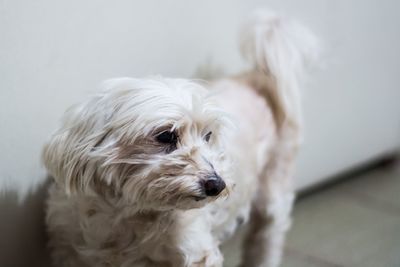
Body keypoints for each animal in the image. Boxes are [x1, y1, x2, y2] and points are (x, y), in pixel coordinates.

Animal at [42, 9, 318, 266]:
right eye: (166, 136)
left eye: (208, 136)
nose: (217, 185)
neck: (128, 213)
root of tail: (257, 78)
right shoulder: (69, 248)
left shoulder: (195, 252)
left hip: (274, 192)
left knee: (267, 239)